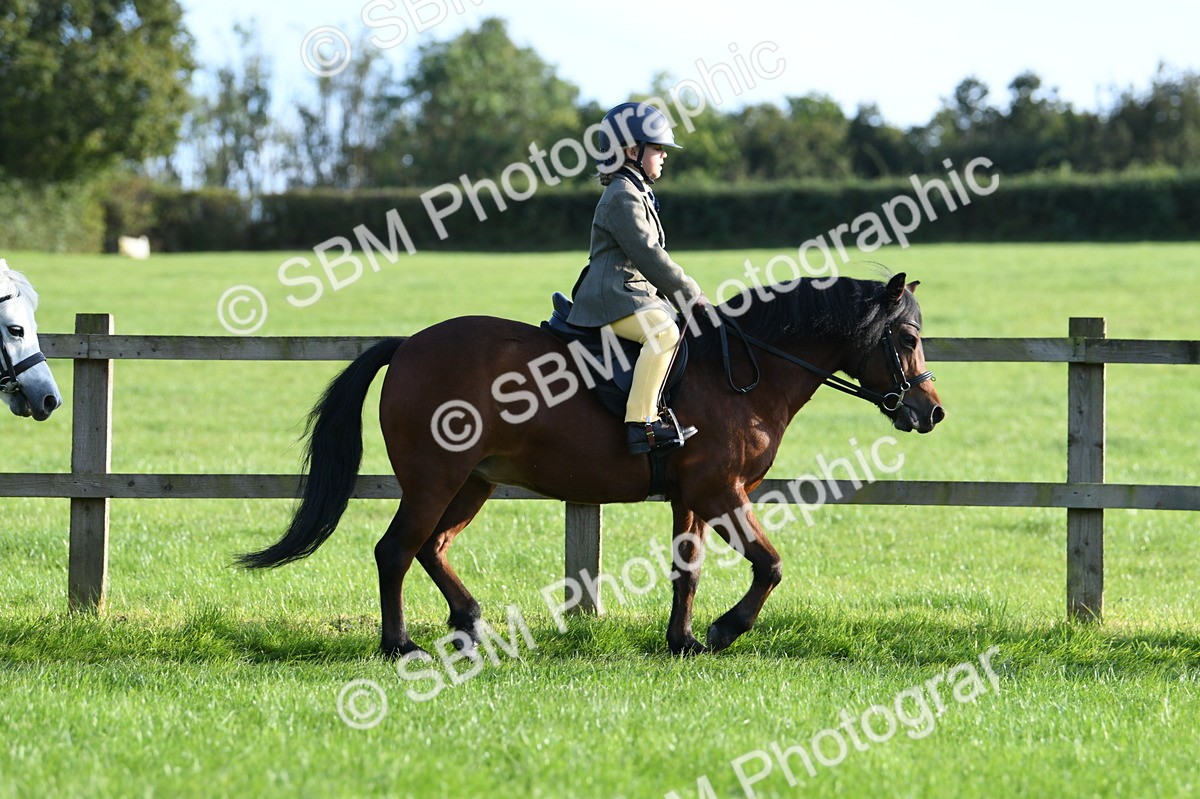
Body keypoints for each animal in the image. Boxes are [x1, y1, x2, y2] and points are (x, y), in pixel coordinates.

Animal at [239, 272, 944, 657]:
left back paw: (470, 623)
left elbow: (685, 572)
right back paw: (398, 644)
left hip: (473, 481)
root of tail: (409, 344)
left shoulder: (692, 495)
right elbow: (769, 564)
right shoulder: (722, 491)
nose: (931, 411)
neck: (742, 369)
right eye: (907, 338)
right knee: (396, 550)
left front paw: (683, 641)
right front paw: (724, 631)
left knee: (431, 548)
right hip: (435, 479)